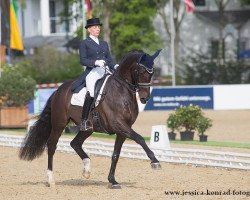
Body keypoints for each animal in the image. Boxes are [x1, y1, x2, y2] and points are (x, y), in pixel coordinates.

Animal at [19, 49, 160, 188]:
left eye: (152, 72)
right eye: (140, 71)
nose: (145, 98)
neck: (121, 90)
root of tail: (59, 90)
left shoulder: (124, 129)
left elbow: (116, 154)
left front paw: (112, 180)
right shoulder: (118, 124)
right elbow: (140, 138)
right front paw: (155, 161)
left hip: (87, 128)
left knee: (75, 143)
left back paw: (86, 169)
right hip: (59, 123)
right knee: (52, 145)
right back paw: (51, 179)